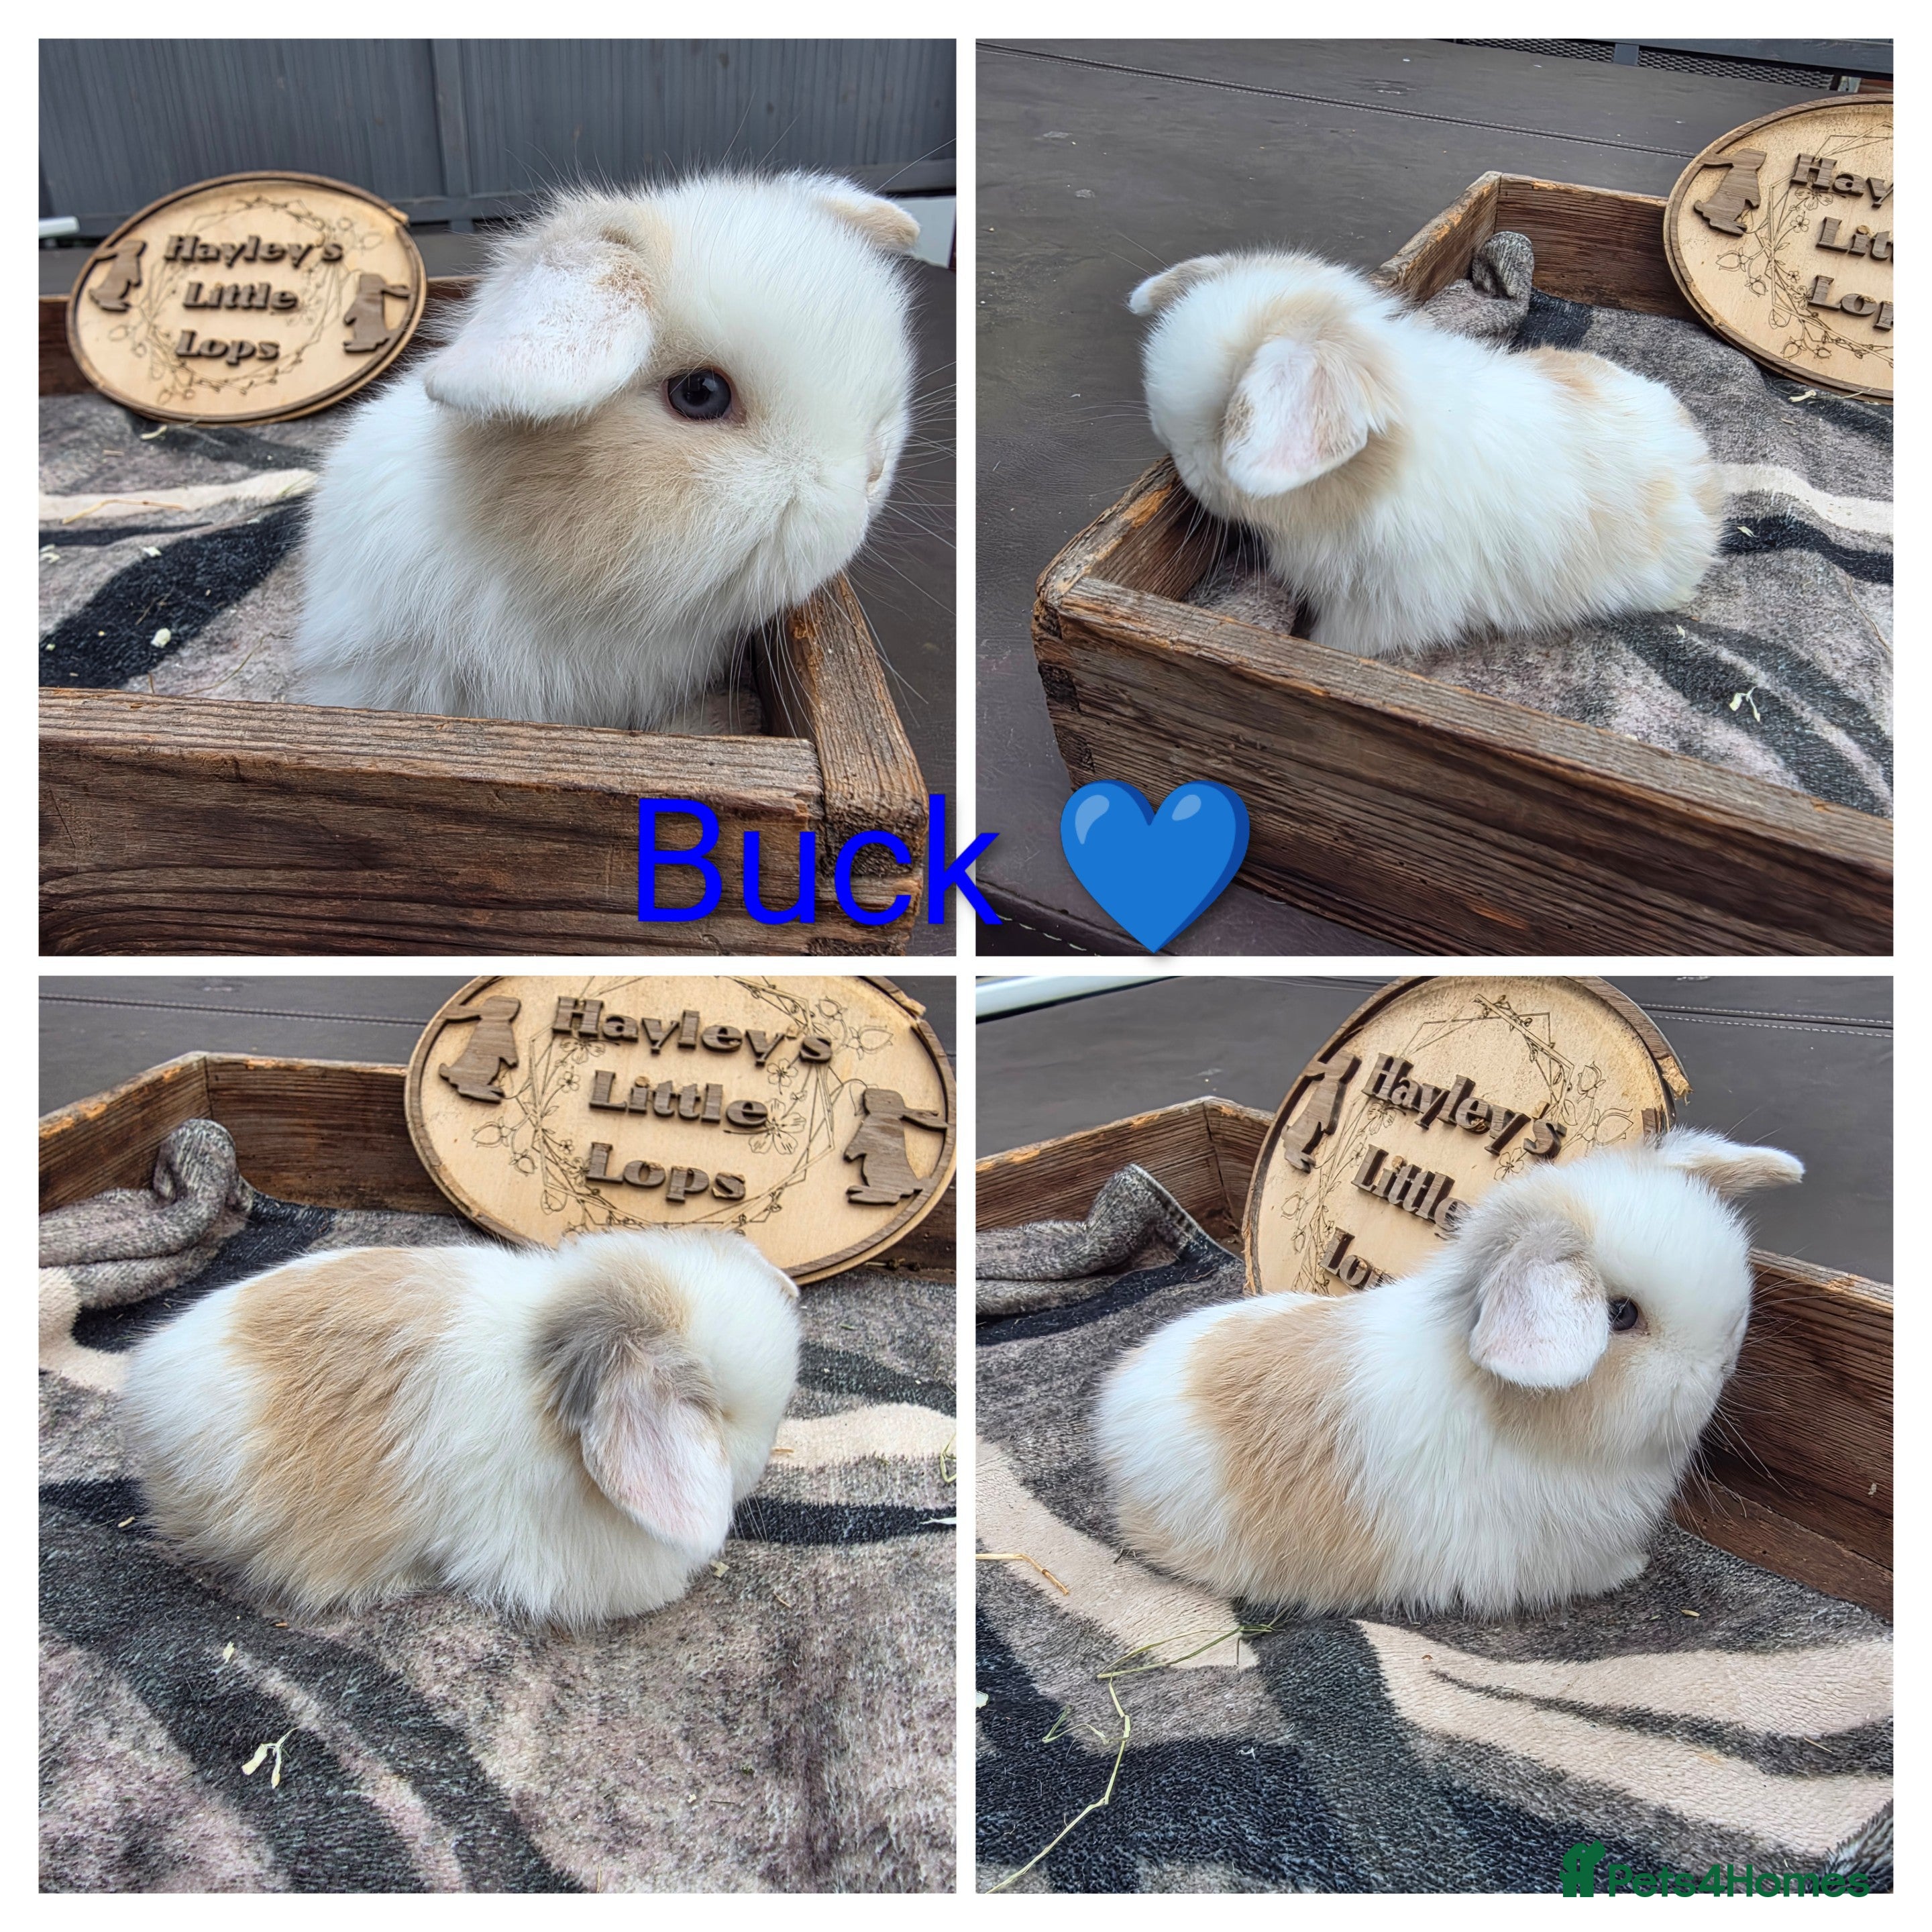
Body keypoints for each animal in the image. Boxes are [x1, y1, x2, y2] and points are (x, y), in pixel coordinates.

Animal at [1129, 249, 1723, 657]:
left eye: (1220, 427)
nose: (1178, 461)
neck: (1364, 484)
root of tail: (1707, 472)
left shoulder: (1383, 609)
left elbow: (1338, 641)